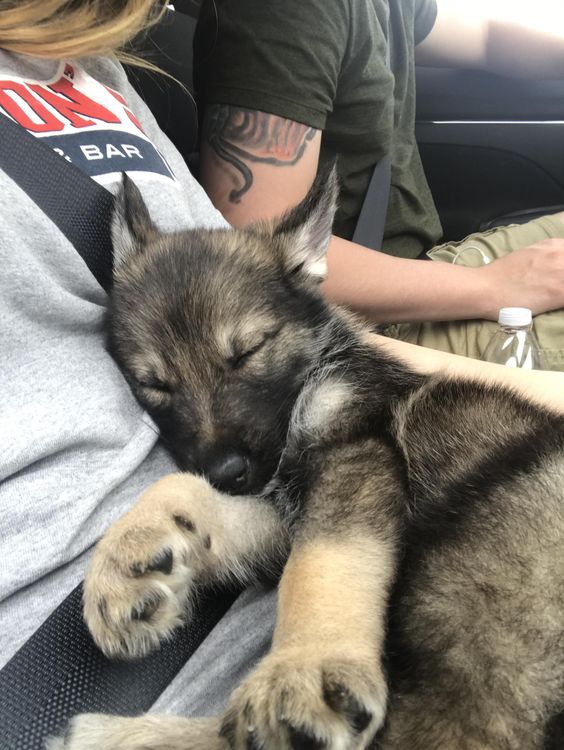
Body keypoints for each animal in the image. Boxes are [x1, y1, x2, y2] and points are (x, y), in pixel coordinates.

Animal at [55, 173, 564, 748]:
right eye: (154, 384)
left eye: (247, 352)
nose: (229, 473)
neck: (305, 386)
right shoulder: (281, 504)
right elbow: (184, 489)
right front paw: (128, 554)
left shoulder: (353, 453)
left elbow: (320, 562)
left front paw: (304, 664)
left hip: (486, 598)